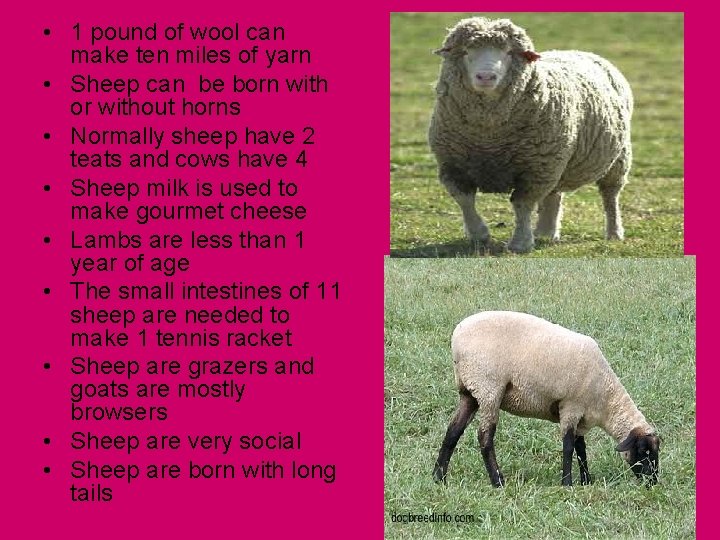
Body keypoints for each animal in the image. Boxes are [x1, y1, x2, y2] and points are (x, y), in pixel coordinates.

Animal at [428, 17, 633, 253]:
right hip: (558, 161)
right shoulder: (453, 165)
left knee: (610, 196)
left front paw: (520, 242)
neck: (489, 137)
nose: (486, 76)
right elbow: (464, 200)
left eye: (509, 52)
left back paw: (614, 232)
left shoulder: (536, 169)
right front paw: (479, 234)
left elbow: (522, 204)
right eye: (466, 51)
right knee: (555, 194)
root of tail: (580, 51)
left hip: (616, 158)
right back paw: (546, 231)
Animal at [432, 311, 659, 487]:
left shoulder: (581, 416)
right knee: (484, 437)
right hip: (489, 389)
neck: (606, 398)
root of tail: (457, 338)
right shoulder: (570, 406)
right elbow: (568, 446)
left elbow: (581, 448)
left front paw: (586, 480)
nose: (653, 482)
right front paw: (567, 483)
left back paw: (439, 478)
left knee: (453, 431)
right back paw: (498, 481)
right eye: (644, 451)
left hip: (470, 392)